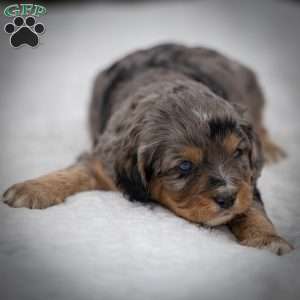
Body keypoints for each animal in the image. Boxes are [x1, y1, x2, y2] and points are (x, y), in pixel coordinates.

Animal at [2, 43, 292, 255]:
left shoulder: (247, 180)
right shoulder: (104, 160)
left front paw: (267, 239)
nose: (228, 197)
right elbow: (74, 171)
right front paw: (32, 188)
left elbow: (252, 206)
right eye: (184, 166)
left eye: (237, 153)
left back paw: (271, 149)